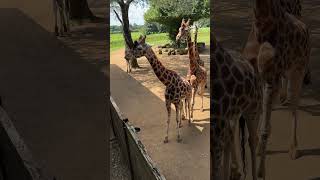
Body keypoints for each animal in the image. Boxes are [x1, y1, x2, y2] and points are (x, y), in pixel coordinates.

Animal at [211, 35, 262, 180]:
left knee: (252, 139)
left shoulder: (218, 128)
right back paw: (235, 171)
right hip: (235, 114)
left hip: (253, 109)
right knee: (232, 136)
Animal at [242, 0, 310, 177]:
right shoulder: (258, 73)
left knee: (294, 105)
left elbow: (265, 129)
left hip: (298, 68)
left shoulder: (271, 75)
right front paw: (257, 147)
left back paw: (293, 149)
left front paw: (260, 172)